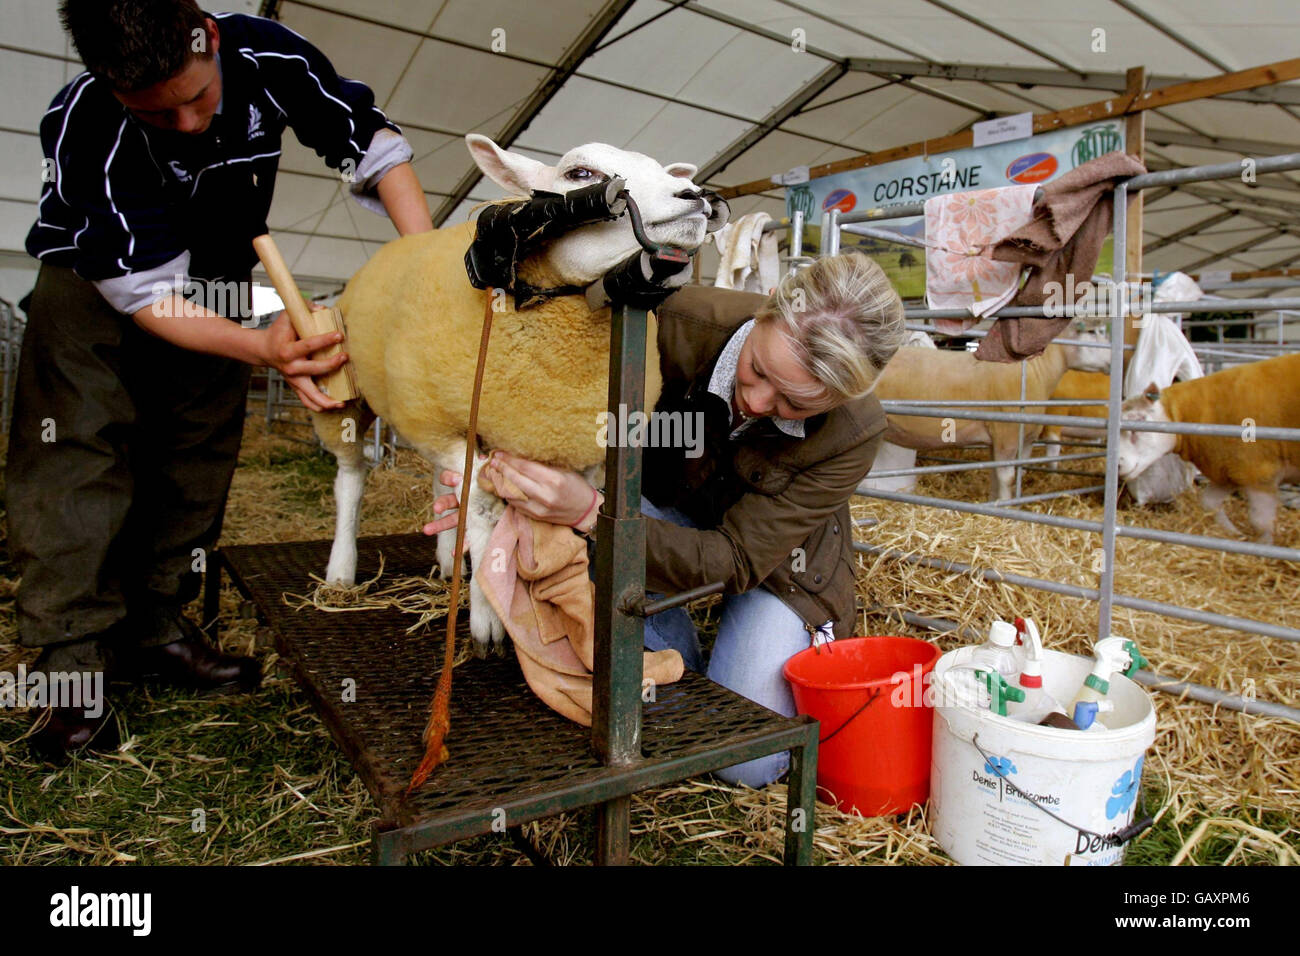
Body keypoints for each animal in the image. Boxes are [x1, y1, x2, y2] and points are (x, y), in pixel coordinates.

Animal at [315, 134, 722, 655]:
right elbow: (484, 512)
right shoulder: (450, 430)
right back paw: (341, 571)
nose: (695, 196)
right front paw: (488, 620)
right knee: (351, 478)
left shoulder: (575, 449)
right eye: (580, 173)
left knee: (439, 484)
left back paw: (447, 561)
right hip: (353, 398)